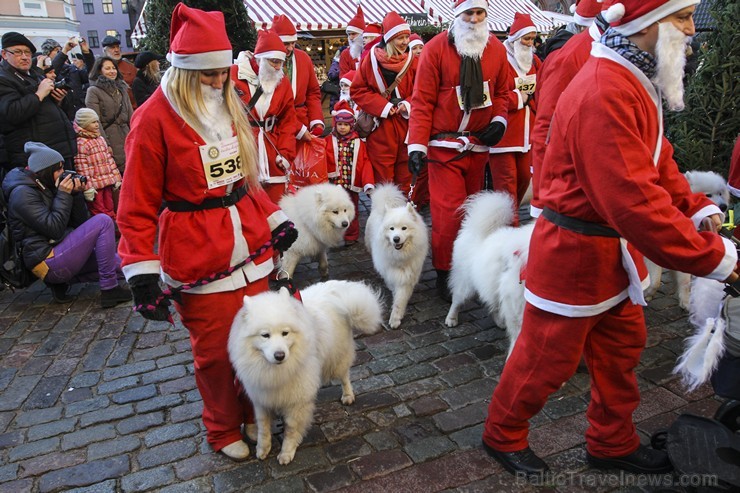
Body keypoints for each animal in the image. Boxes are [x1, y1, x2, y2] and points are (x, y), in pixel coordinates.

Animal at [228, 278, 384, 464]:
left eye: (285, 333)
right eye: (265, 335)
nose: (279, 355)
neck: (275, 370)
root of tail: (335, 290)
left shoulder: (296, 401)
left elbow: (290, 429)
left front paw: (286, 452)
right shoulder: (262, 399)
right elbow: (263, 428)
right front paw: (262, 449)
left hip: (337, 359)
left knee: (344, 376)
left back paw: (348, 396)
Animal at [364, 184, 428, 326]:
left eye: (404, 228)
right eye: (391, 229)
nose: (396, 239)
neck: (401, 256)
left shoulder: (408, 276)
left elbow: (400, 299)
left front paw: (395, 317)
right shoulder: (391, 271)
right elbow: (393, 286)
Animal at [644, 169, 732, 308]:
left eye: (720, 193)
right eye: (708, 195)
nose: (723, 206)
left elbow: (685, 281)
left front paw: (685, 301)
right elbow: (655, 280)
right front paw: (647, 292)